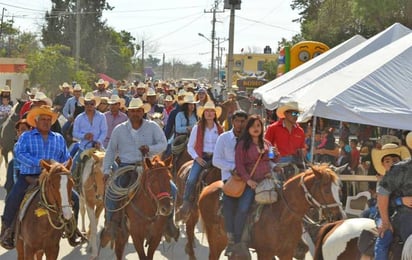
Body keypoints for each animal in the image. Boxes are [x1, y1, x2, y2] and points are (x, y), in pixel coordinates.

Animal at [199, 166, 344, 258]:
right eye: (326, 191)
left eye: (339, 190)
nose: (340, 216)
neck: (282, 217)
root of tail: (207, 188)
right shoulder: (265, 253)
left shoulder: (287, 253)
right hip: (216, 239)